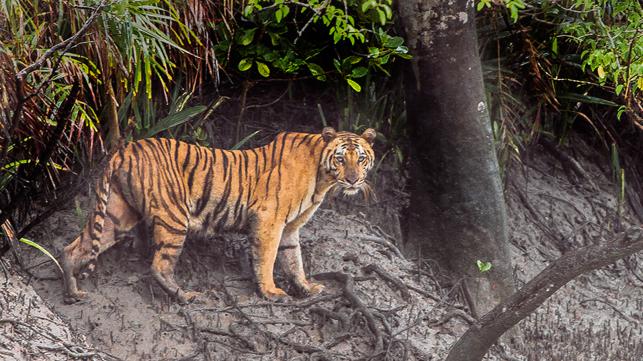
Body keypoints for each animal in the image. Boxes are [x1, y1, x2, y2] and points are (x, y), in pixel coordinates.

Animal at [62, 128, 374, 302]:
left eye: (361, 158)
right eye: (340, 158)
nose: (353, 180)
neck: (322, 178)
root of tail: (125, 148)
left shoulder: (290, 228)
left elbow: (293, 260)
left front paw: (307, 288)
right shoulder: (269, 220)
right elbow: (268, 259)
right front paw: (271, 292)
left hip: (118, 214)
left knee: (73, 248)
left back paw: (73, 293)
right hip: (174, 218)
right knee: (159, 266)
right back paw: (186, 296)